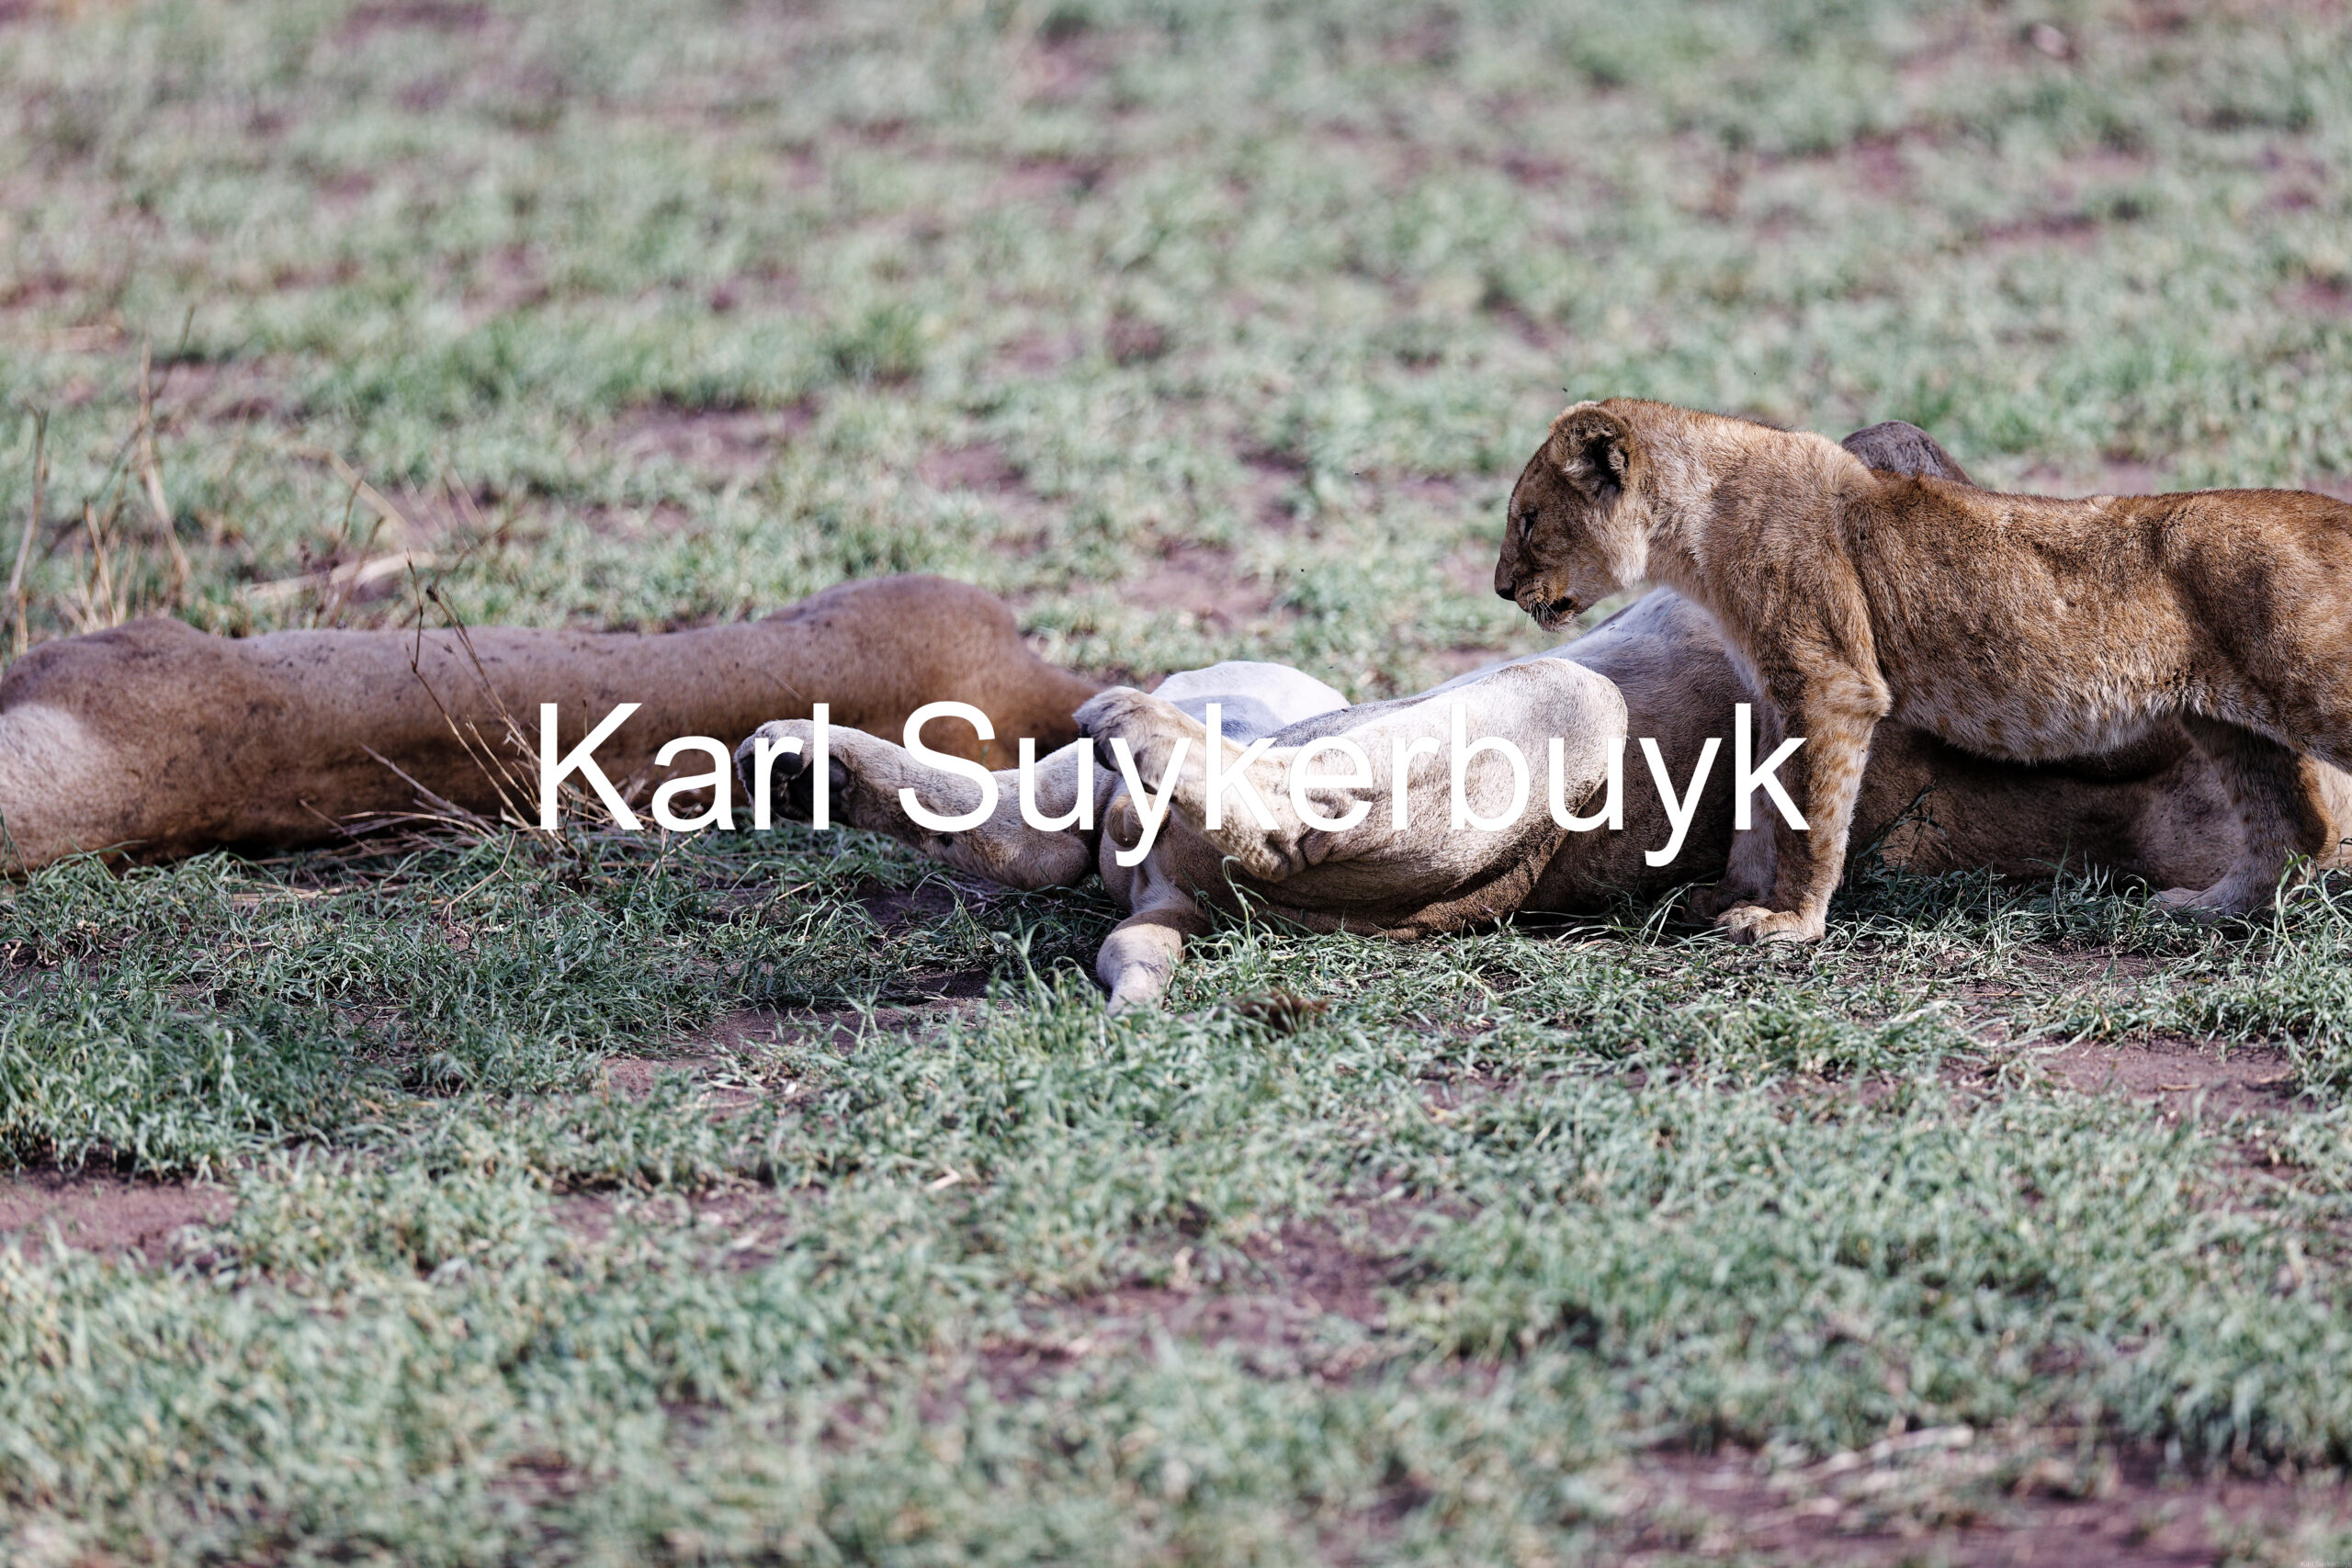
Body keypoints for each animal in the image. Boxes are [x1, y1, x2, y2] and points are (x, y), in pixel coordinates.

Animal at [1494, 398, 2352, 942]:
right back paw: (2204, 910)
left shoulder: (1832, 682)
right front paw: (1731, 897)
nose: (1500, 588)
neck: (1695, 528)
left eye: (1528, 520)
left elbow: (1809, 817)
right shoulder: (1775, 691)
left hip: (2312, 683)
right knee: (2297, 828)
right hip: (2227, 721)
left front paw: (1789, 924)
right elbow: (1760, 806)